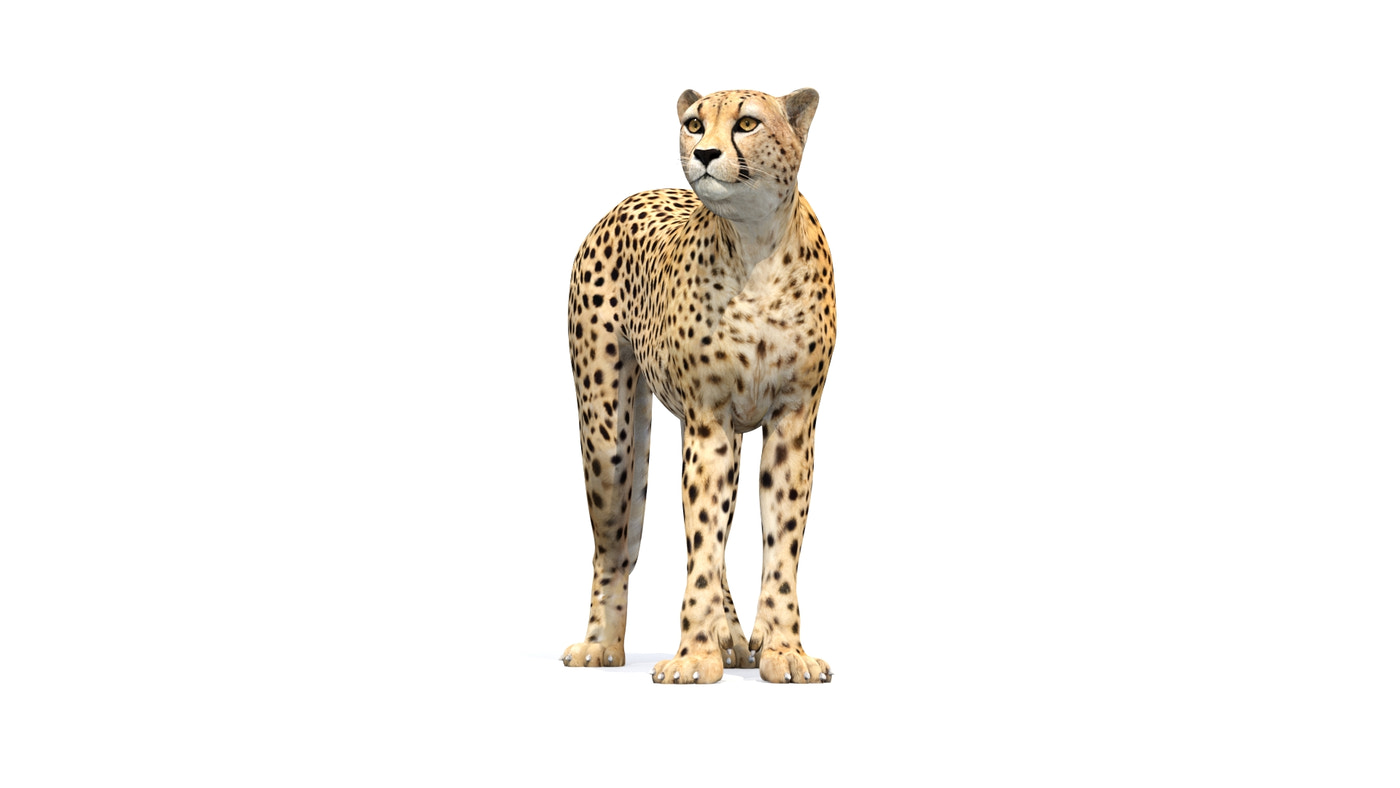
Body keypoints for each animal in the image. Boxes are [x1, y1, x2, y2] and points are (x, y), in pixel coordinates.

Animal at [561, 88, 836, 684]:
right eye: (693, 123)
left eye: (747, 123)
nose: (705, 153)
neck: (756, 245)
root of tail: (634, 196)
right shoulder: (710, 419)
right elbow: (703, 542)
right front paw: (694, 656)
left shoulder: (791, 420)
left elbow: (779, 541)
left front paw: (783, 649)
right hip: (608, 434)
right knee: (612, 548)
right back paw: (600, 645)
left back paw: (735, 638)